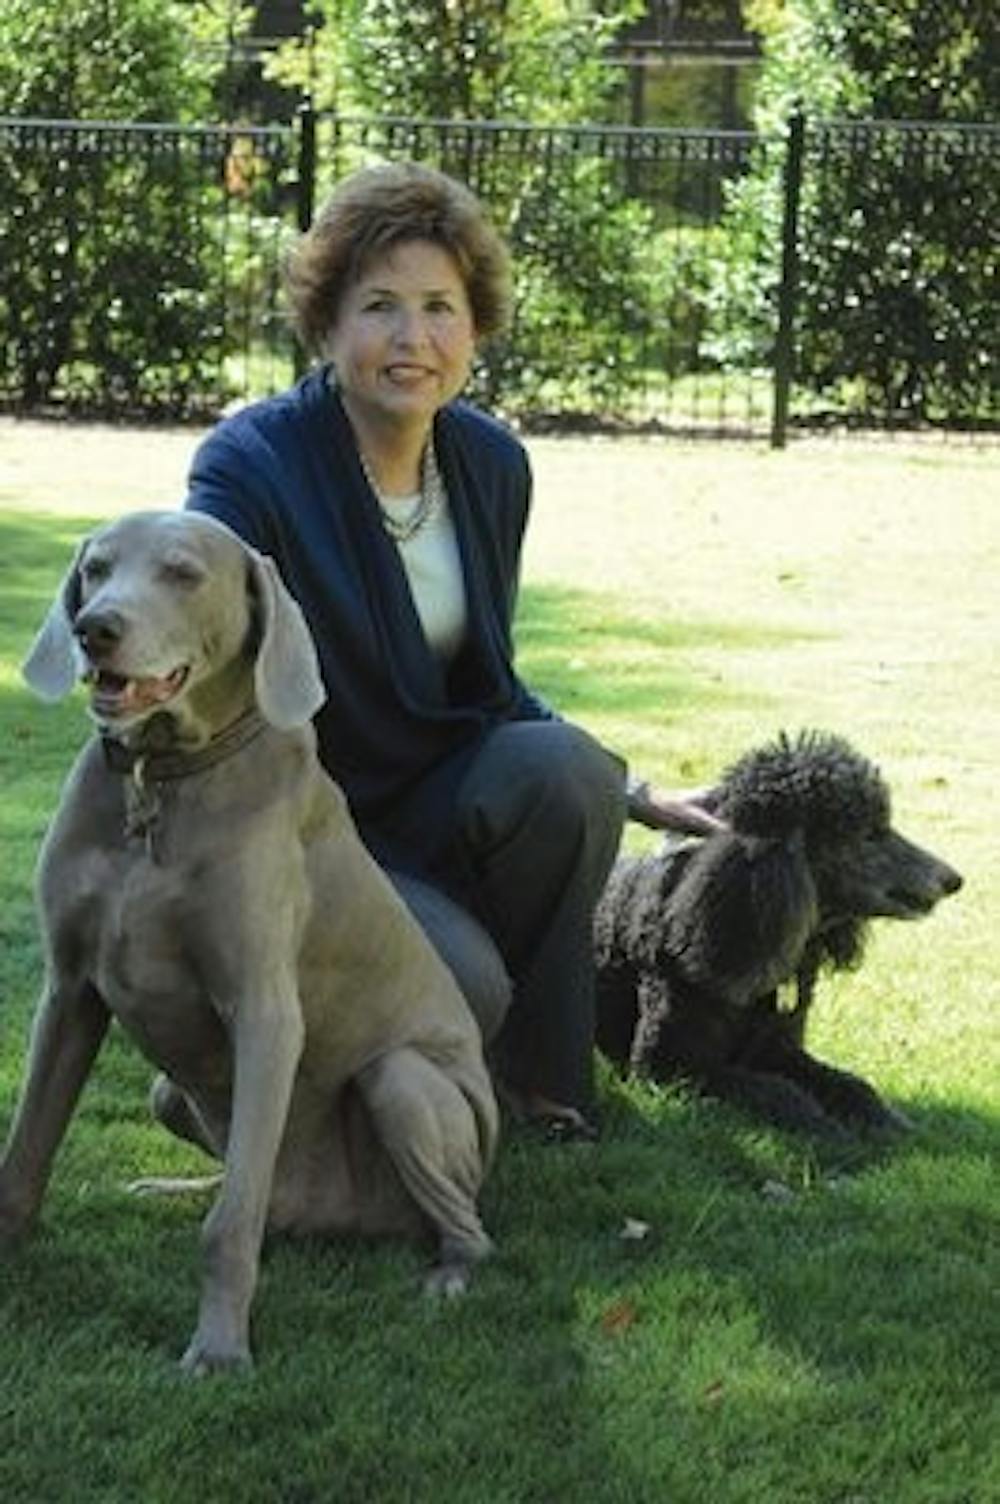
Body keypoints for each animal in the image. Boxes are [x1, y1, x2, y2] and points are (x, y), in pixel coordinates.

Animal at [0, 514, 499, 1377]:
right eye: (95, 569)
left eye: (182, 574)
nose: (95, 628)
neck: (159, 781)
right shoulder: (67, 992)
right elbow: (27, 1149)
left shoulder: (265, 1013)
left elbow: (228, 1229)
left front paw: (219, 1350)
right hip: (167, 1092)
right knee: (240, 1174)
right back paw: (179, 1189)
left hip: (405, 1082)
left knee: (459, 1226)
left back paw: (448, 1277)